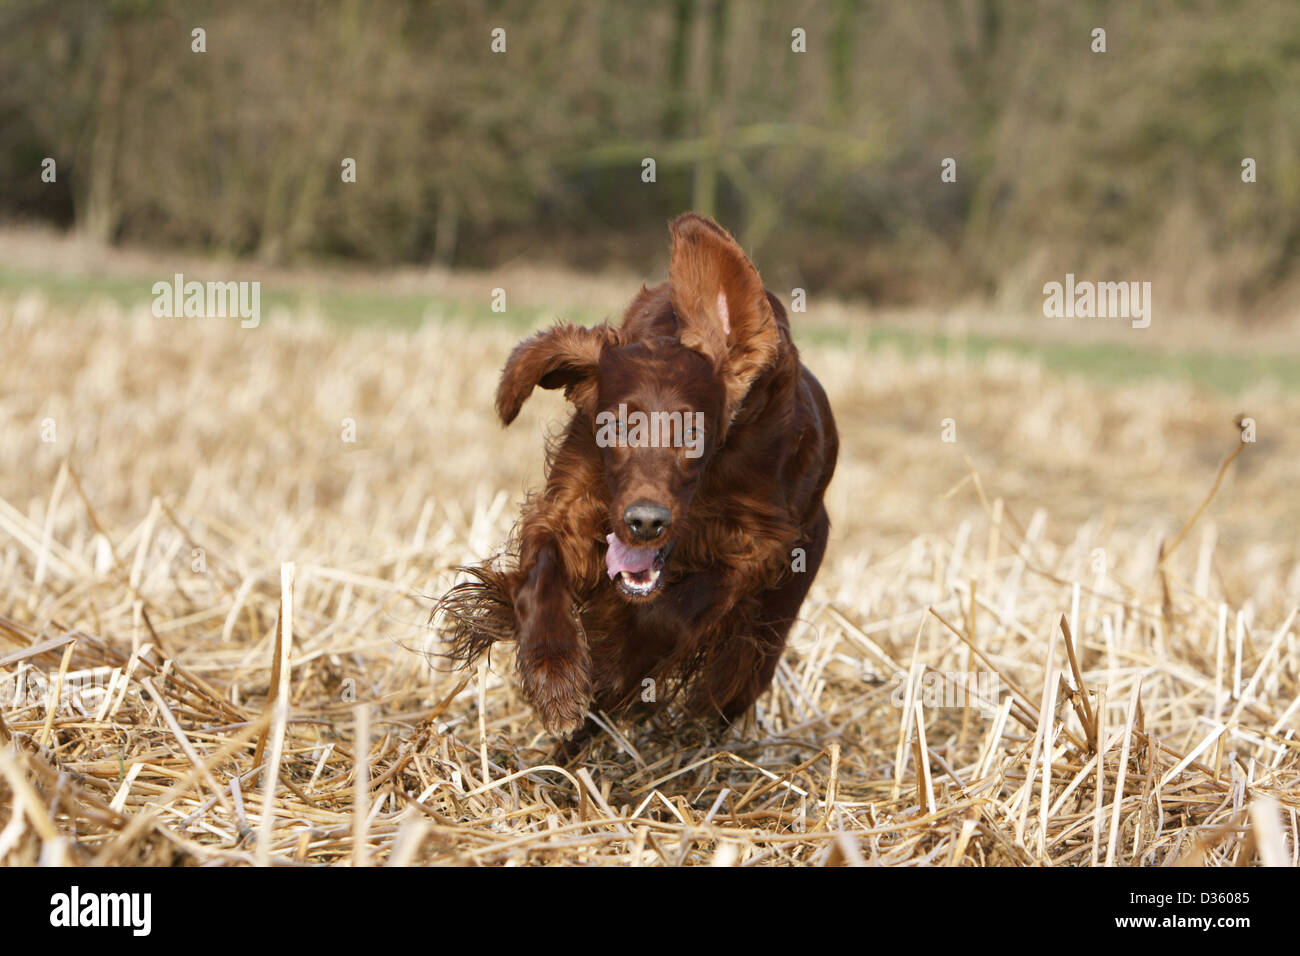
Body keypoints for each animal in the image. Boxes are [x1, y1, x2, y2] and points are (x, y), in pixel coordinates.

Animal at [441, 214, 837, 738]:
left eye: (693, 432)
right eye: (614, 426)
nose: (645, 522)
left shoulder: (759, 543)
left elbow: (669, 616)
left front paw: (612, 663)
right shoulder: (573, 504)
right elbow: (542, 574)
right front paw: (556, 678)